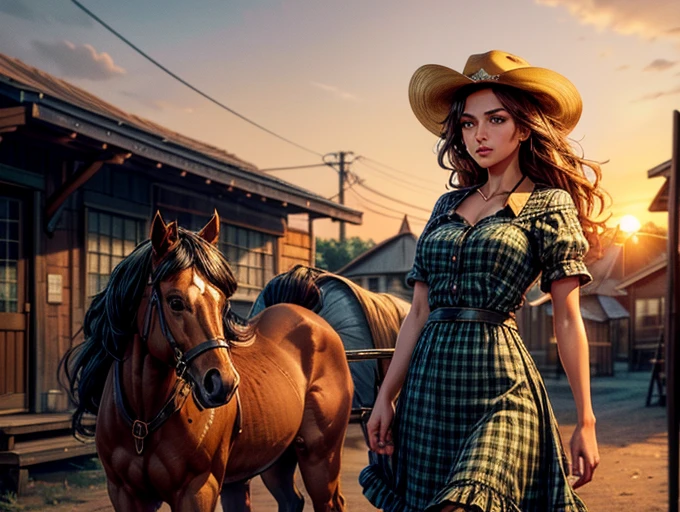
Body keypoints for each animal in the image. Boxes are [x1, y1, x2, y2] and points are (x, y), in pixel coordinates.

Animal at [63, 212, 354, 512]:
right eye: (175, 302)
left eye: (222, 302)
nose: (222, 383)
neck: (143, 422)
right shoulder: (124, 494)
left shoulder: (198, 489)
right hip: (274, 458)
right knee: (291, 500)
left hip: (320, 459)